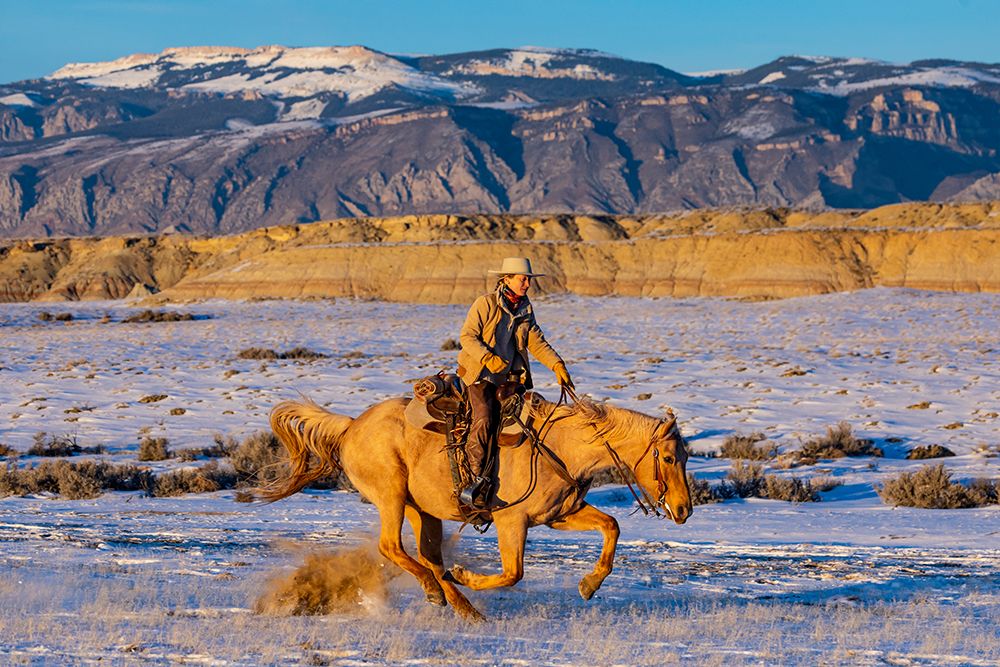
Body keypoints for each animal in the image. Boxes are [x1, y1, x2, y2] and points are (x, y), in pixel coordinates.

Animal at [262, 392, 692, 620]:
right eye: (669, 458)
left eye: (687, 456)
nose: (684, 510)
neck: (561, 447)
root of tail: (351, 426)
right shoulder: (511, 520)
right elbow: (513, 573)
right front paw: (466, 575)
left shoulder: (559, 515)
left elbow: (611, 526)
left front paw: (589, 585)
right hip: (392, 497)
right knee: (392, 547)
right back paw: (439, 591)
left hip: (422, 509)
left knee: (427, 554)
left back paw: (461, 605)